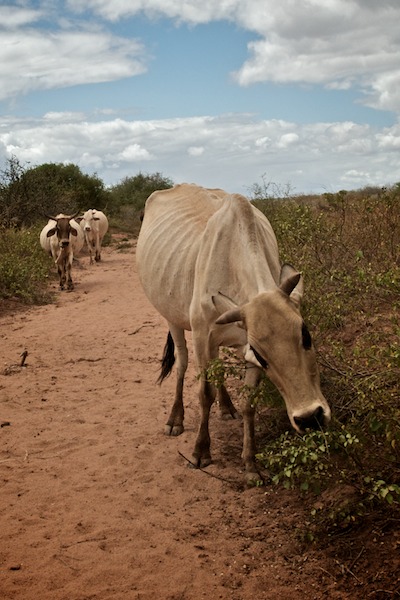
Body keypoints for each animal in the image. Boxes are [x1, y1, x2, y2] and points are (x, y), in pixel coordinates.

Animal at [136, 183, 330, 482]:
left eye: (306, 336)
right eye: (263, 356)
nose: (310, 417)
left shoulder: (241, 342)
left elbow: (250, 401)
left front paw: (250, 463)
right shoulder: (203, 336)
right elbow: (204, 394)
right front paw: (200, 452)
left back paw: (227, 408)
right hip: (173, 320)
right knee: (182, 363)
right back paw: (175, 419)